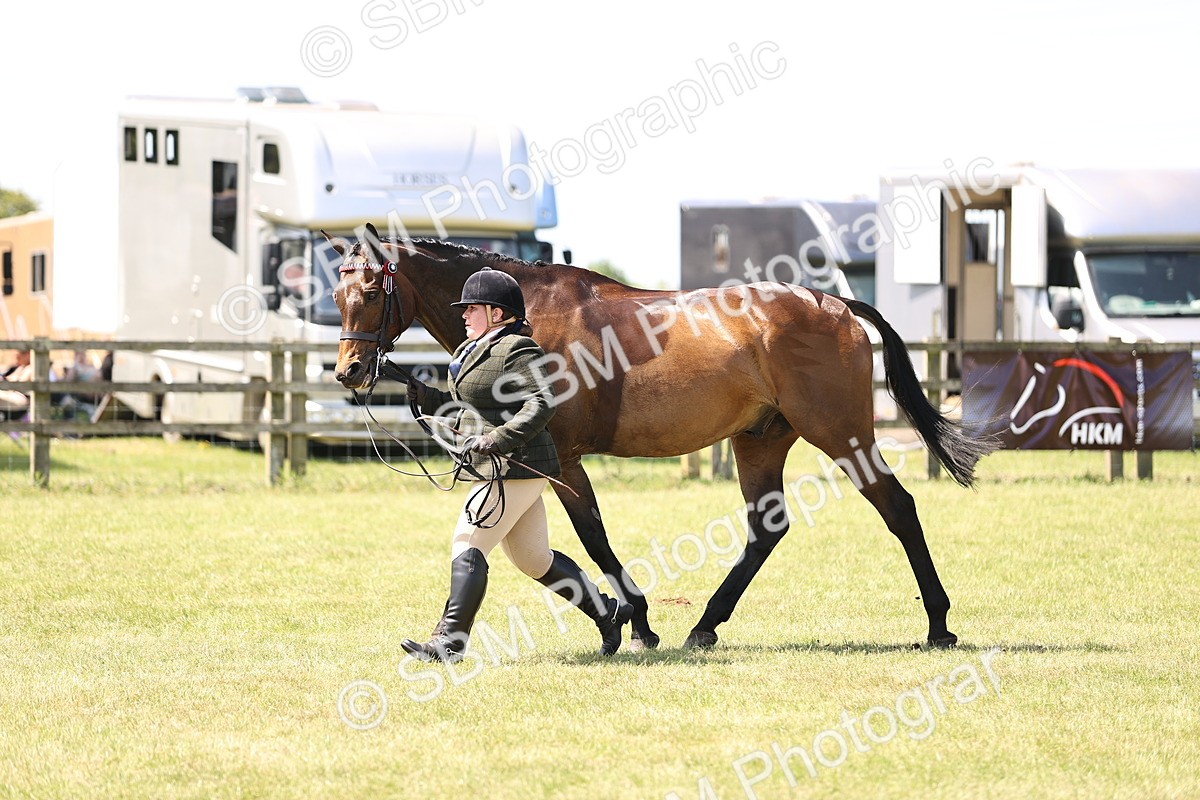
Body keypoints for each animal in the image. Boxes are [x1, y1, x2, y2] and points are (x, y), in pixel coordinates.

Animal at [329, 224, 996, 650]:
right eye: (336, 292)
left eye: (371, 292)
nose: (350, 372)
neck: (528, 312)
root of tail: (834, 303)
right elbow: (585, 545)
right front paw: (632, 620)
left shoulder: (564, 458)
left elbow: (594, 539)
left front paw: (637, 622)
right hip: (760, 439)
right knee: (766, 529)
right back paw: (705, 625)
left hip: (841, 434)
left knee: (898, 508)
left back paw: (938, 625)